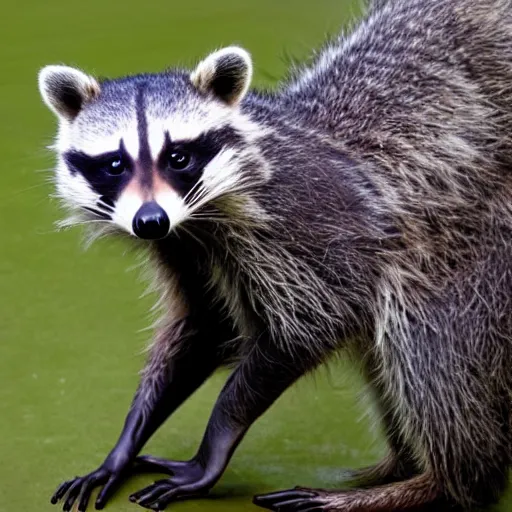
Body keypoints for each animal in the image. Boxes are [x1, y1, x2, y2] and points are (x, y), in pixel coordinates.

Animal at [39, 0, 512, 510]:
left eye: (178, 157)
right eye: (115, 164)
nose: (150, 220)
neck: (199, 216)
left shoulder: (306, 220)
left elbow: (314, 324)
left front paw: (214, 446)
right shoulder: (181, 244)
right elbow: (206, 324)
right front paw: (126, 443)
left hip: (473, 253)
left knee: (423, 341)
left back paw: (440, 482)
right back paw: (403, 467)